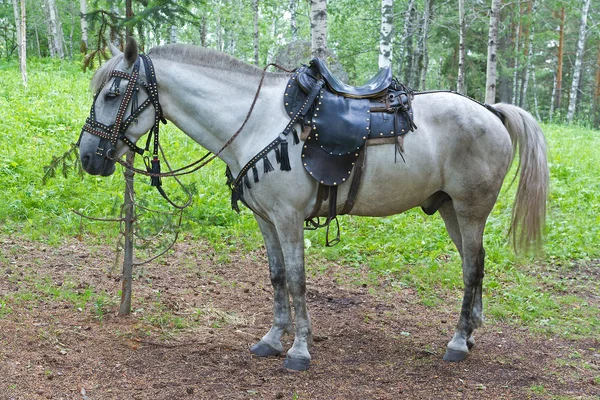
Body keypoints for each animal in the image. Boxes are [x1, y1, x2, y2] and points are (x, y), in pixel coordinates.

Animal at [78, 38, 548, 372]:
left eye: (113, 92)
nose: (86, 157)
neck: (256, 123)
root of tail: (489, 110)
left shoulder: (288, 218)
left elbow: (298, 281)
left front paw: (299, 351)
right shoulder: (266, 220)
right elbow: (276, 277)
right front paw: (272, 339)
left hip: (470, 210)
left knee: (472, 270)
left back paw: (456, 343)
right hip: (451, 209)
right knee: (475, 263)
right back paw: (469, 334)